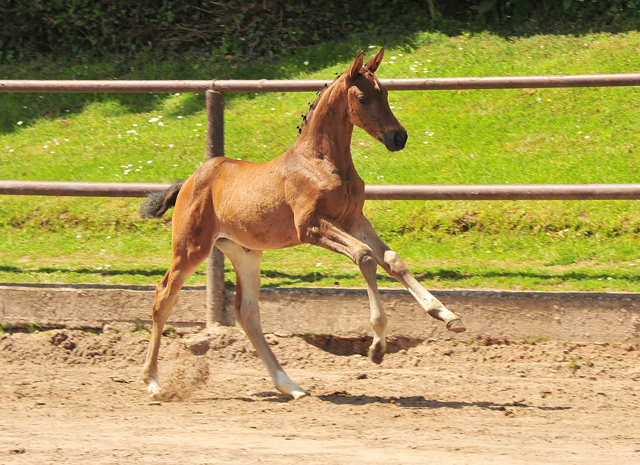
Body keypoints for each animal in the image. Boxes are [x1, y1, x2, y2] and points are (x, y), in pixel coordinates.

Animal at [141, 49, 464, 398]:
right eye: (363, 98)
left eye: (386, 94)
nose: (398, 137)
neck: (321, 162)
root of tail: (189, 180)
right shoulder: (311, 226)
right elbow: (364, 256)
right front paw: (377, 346)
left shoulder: (353, 219)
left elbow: (391, 259)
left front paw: (447, 315)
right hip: (191, 247)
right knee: (163, 297)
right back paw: (153, 380)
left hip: (244, 252)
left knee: (246, 312)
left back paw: (290, 385)